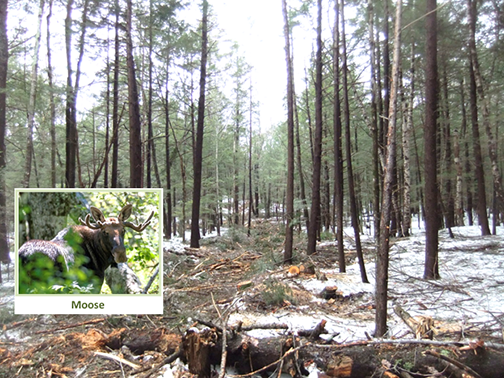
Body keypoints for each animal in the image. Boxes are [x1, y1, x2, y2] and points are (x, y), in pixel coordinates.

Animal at [18, 202, 154, 294]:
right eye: (105, 232)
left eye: (123, 230)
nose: (120, 254)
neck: (102, 259)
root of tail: (24, 256)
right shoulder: (94, 281)